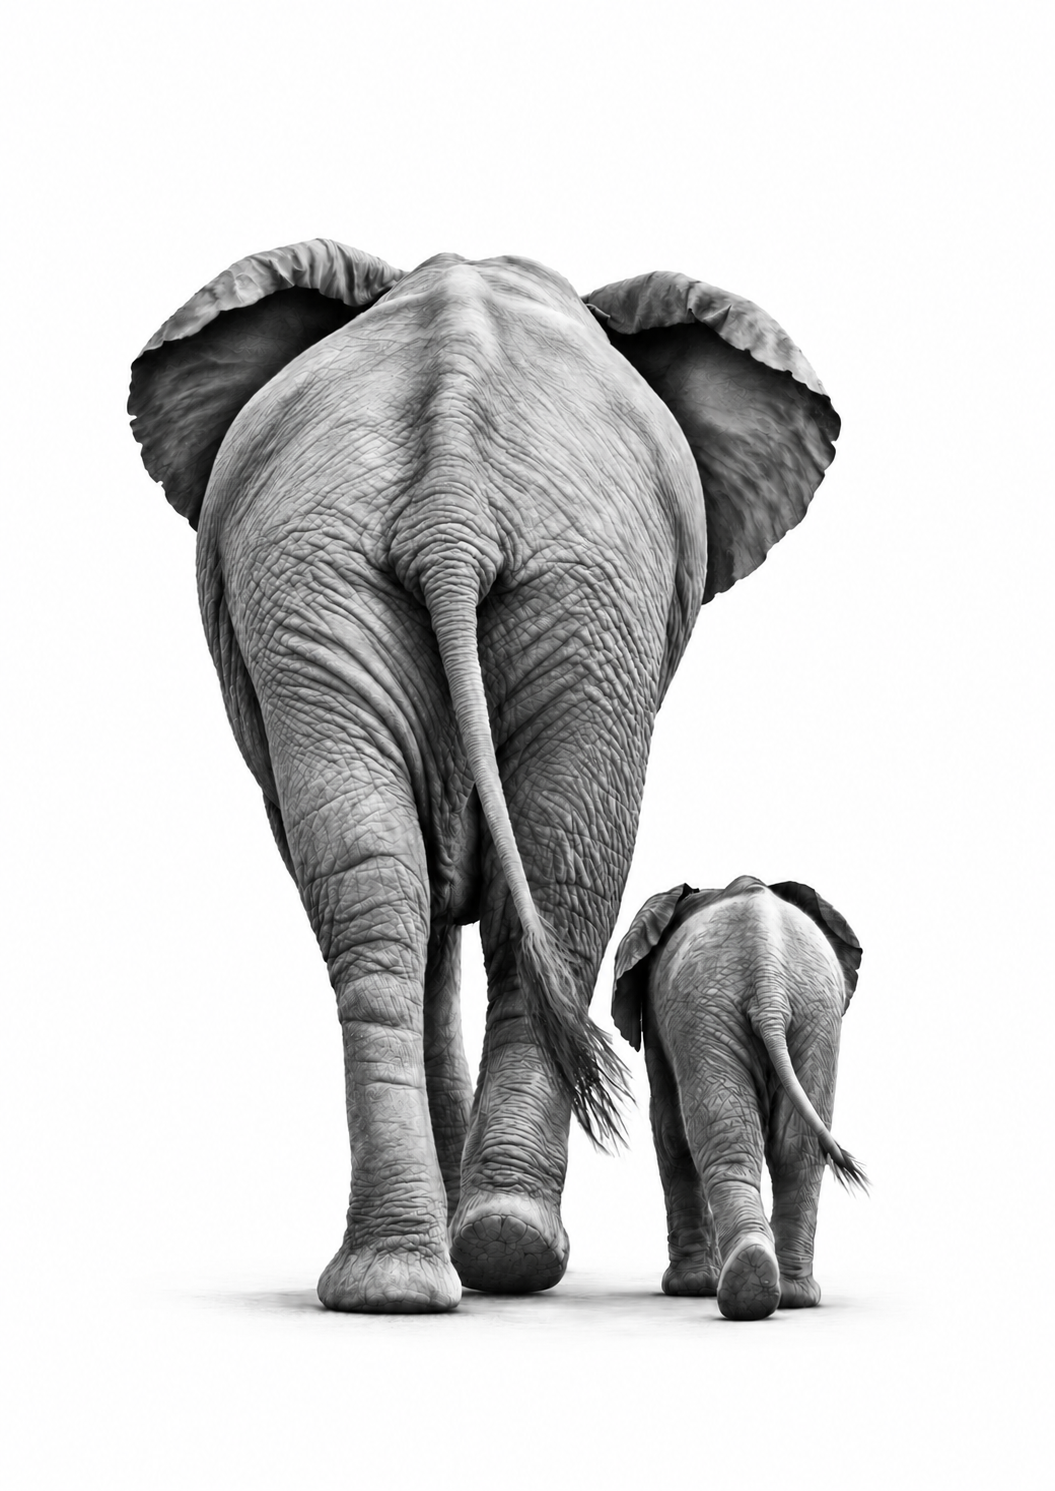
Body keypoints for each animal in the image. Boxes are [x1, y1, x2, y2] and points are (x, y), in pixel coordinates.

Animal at [128, 239, 839, 1313]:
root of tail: (450, 499)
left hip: (419, 587)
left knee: (408, 886)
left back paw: (436, 1270)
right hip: (488, 590)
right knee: (519, 882)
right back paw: (473, 1261)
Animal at [612, 875, 864, 1320]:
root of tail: (768, 978)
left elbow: (668, 1129)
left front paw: (688, 1289)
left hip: (719, 1010)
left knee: (724, 1135)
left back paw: (748, 1285)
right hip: (804, 1016)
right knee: (795, 1151)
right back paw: (779, 1291)